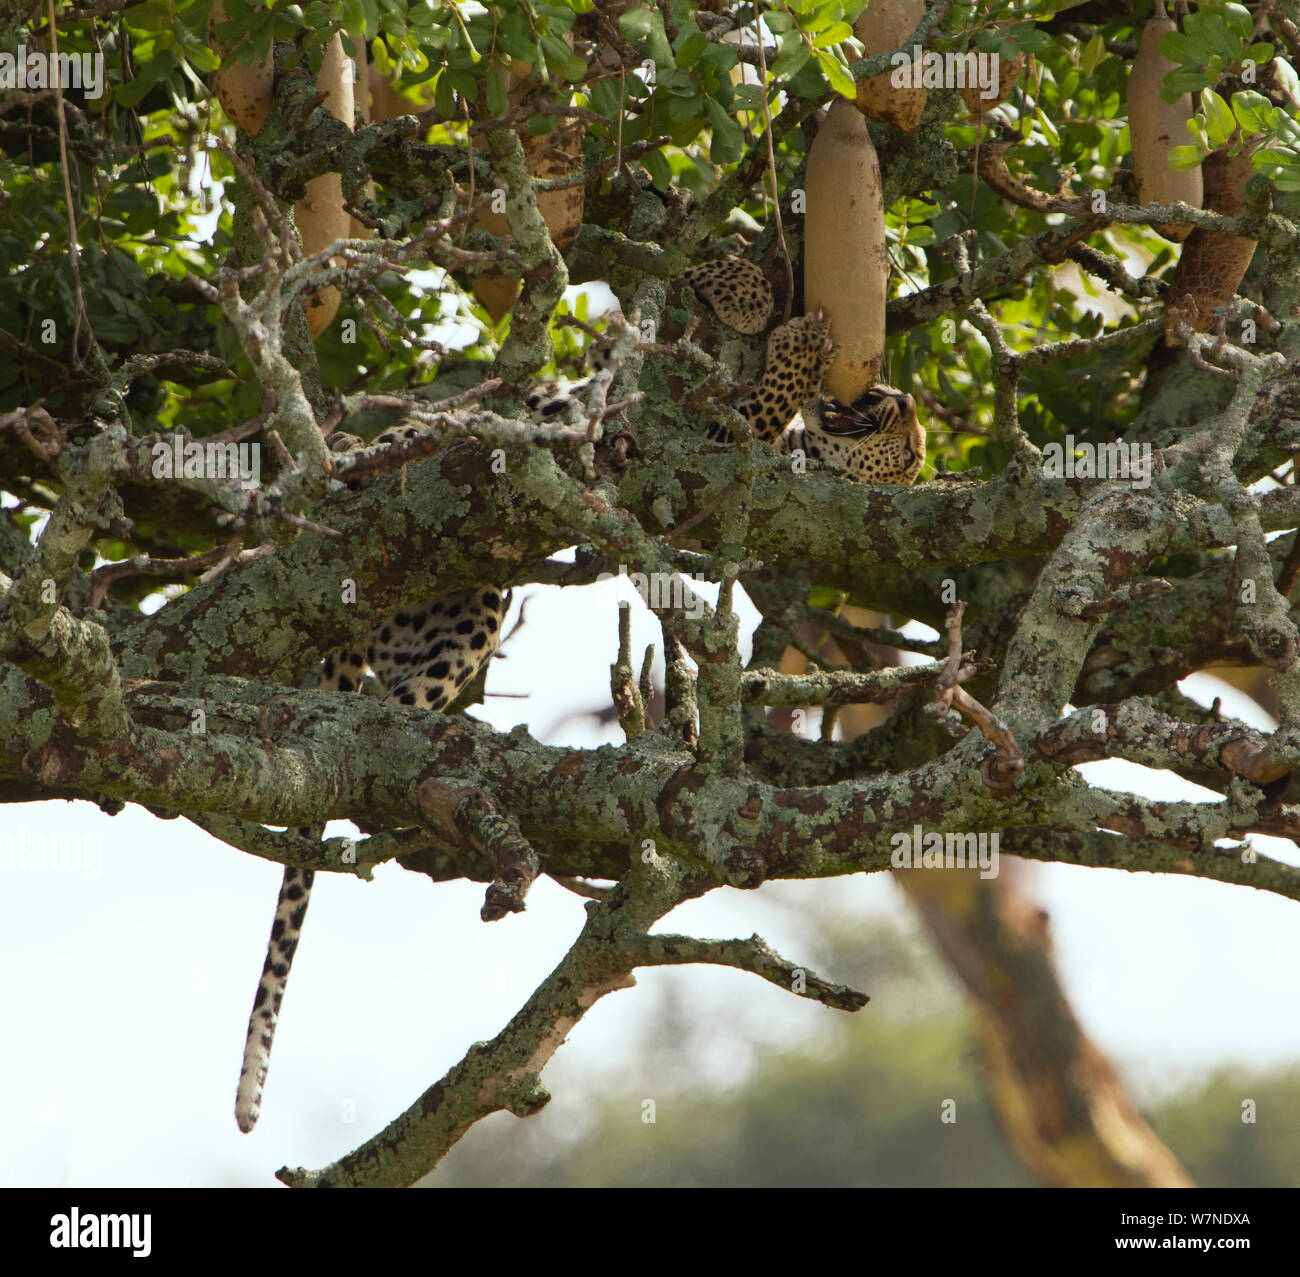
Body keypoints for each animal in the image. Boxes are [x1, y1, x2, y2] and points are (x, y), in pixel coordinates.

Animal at [236, 254, 925, 1133]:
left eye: (906, 450)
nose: (897, 400)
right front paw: (740, 286)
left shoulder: (698, 458)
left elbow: (757, 409)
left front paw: (793, 348)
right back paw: (357, 456)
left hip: (470, 608)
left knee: (398, 706)